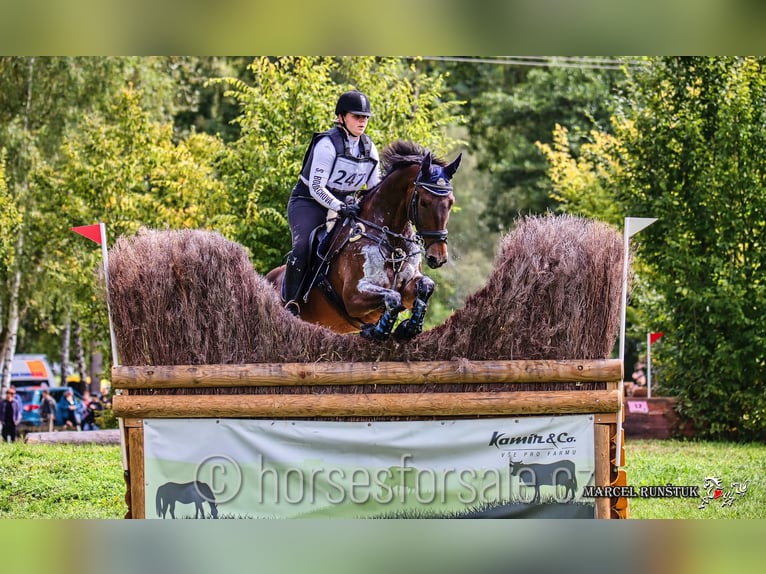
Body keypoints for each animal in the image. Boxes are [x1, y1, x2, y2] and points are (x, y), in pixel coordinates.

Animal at [268, 141, 464, 342]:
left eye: (451, 202)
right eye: (424, 202)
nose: (438, 257)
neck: (393, 244)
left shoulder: (409, 286)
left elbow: (425, 286)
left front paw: (409, 327)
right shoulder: (353, 297)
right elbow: (393, 297)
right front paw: (379, 330)